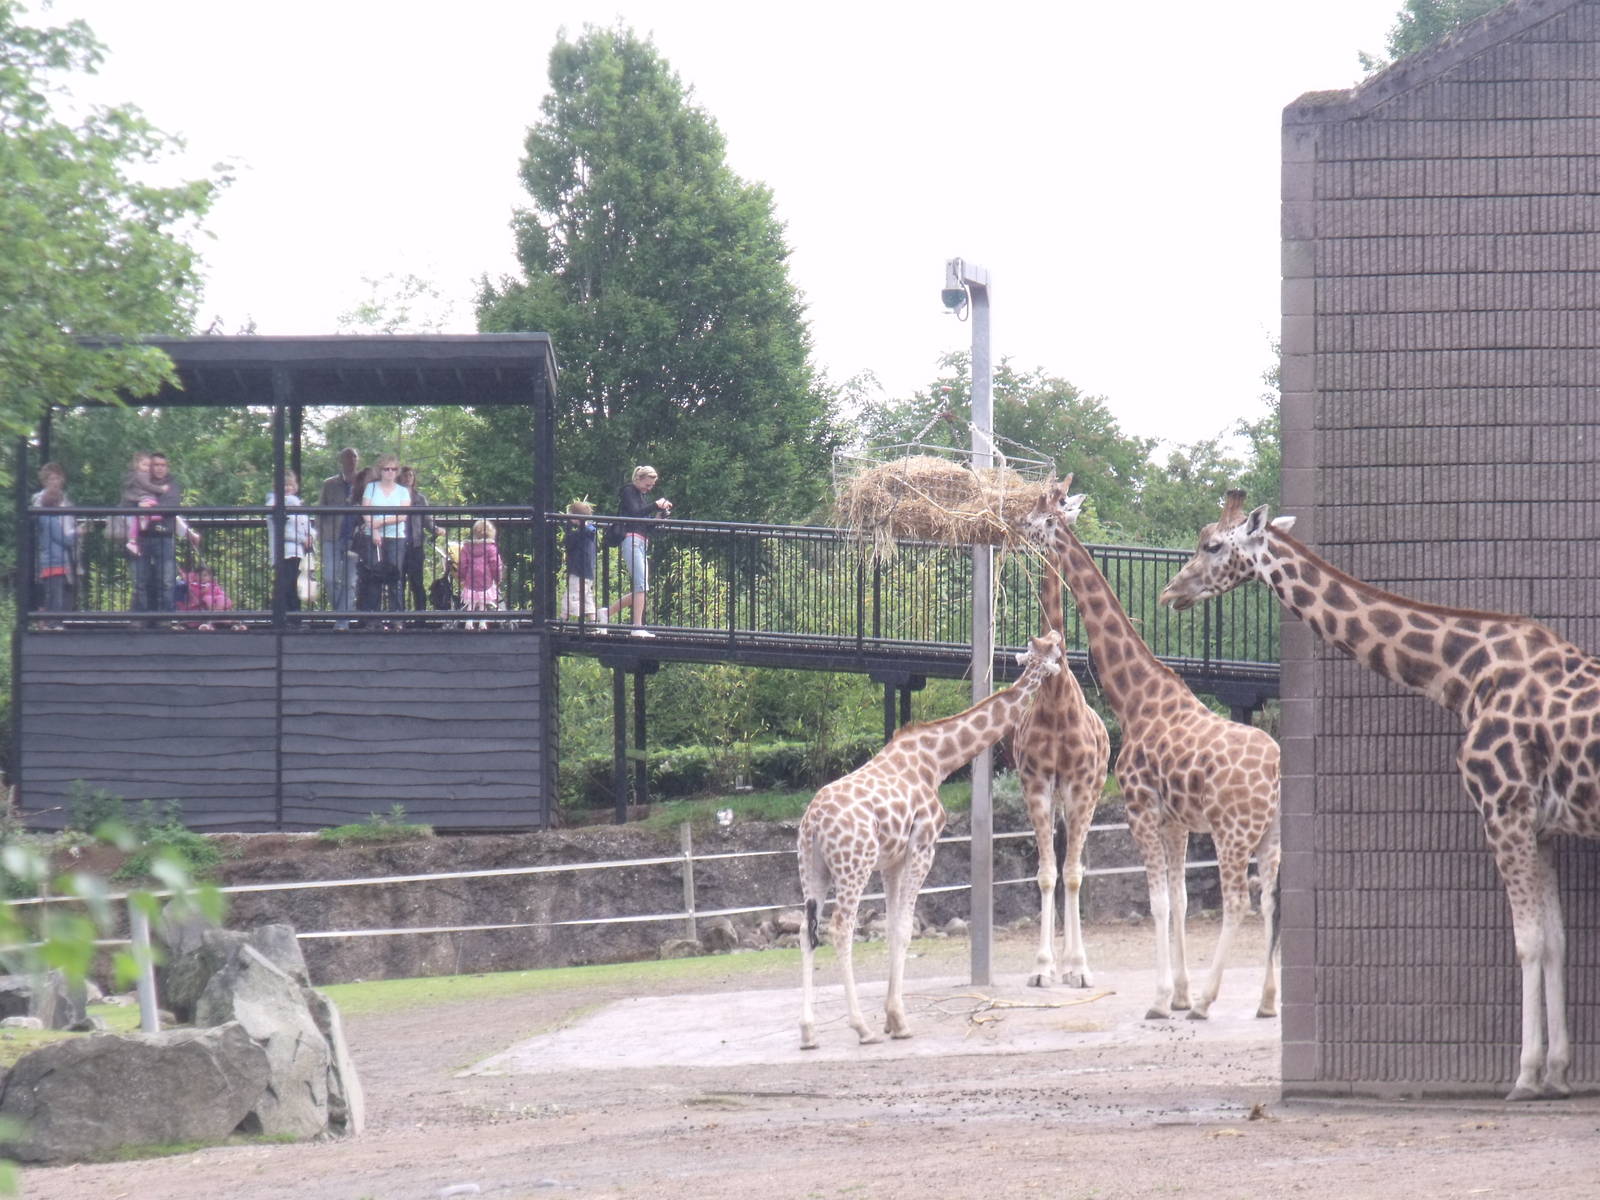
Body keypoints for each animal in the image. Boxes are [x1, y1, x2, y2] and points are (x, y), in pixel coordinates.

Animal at [797, 630, 1065, 1049]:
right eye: (1056, 649)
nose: (1059, 643)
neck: (939, 760)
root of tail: (812, 825)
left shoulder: (891, 859)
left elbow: (893, 927)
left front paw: (893, 1019)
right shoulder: (923, 846)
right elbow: (905, 929)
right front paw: (898, 1021)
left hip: (813, 869)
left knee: (805, 930)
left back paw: (808, 1032)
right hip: (853, 865)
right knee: (840, 928)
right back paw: (861, 1028)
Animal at [1016, 479, 1281, 1022]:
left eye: (1042, 517)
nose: (1013, 525)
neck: (1135, 697)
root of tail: (1275, 773)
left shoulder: (1140, 808)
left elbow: (1158, 901)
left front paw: (1164, 1000)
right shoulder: (1175, 819)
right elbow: (1179, 900)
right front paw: (1177, 993)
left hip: (1232, 830)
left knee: (1238, 901)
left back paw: (1208, 1000)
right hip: (1270, 834)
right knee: (1268, 901)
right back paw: (1266, 1002)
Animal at [1159, 490, 1600, 1101]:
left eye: (1213, 545)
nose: (1169, 593)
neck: (1464, 674)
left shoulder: (1503, 810)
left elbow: (1529, 941)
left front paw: (1526, 1075)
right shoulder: (1543, 827)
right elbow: (1556, 940)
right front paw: (1557, 1072)